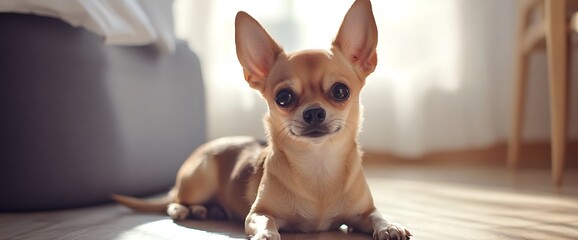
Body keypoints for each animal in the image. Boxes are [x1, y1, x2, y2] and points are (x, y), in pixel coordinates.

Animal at [112, 0, 410, 240]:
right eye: (283, 97)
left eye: (340, 91)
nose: (314, 111)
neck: (318, 166)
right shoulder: (258, 213)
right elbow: (265, 221)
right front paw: (266, 235)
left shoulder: (362, 212)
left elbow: (376, 214)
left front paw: (389, 226)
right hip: (200, 178)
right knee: (174, 199)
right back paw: (186, 209)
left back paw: (211, 210)